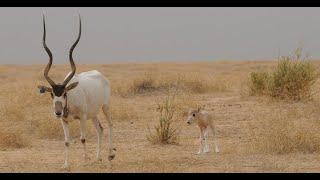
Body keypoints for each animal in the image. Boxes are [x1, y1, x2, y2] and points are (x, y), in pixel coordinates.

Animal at [37, 14, 115, 169]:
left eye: (65, 93)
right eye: (52, 94)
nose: (58, 112)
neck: (70, 102)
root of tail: (100, 75)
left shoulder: (82, 118)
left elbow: (83, 138)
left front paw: (85, 160)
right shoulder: (64, 121)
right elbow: (67, 141)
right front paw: (66, 165)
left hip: (105, 107)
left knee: (109, 124)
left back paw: (109, 155)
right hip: (93, 114)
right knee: (100, 129)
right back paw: (98, 158)